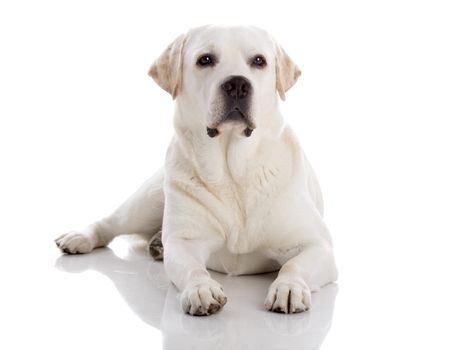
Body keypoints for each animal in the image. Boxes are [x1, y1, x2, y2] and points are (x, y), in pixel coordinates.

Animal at [54, 23, 338, 314]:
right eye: (205, 60)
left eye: (259, 61)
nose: (237, 84)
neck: (233, 172)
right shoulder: (184, 244)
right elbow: (194, 269)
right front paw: (201, 290)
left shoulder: (317, 244)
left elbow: (294, 265)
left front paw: (288, 288)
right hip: (148, 200)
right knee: (111, 223)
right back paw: (81, 237)